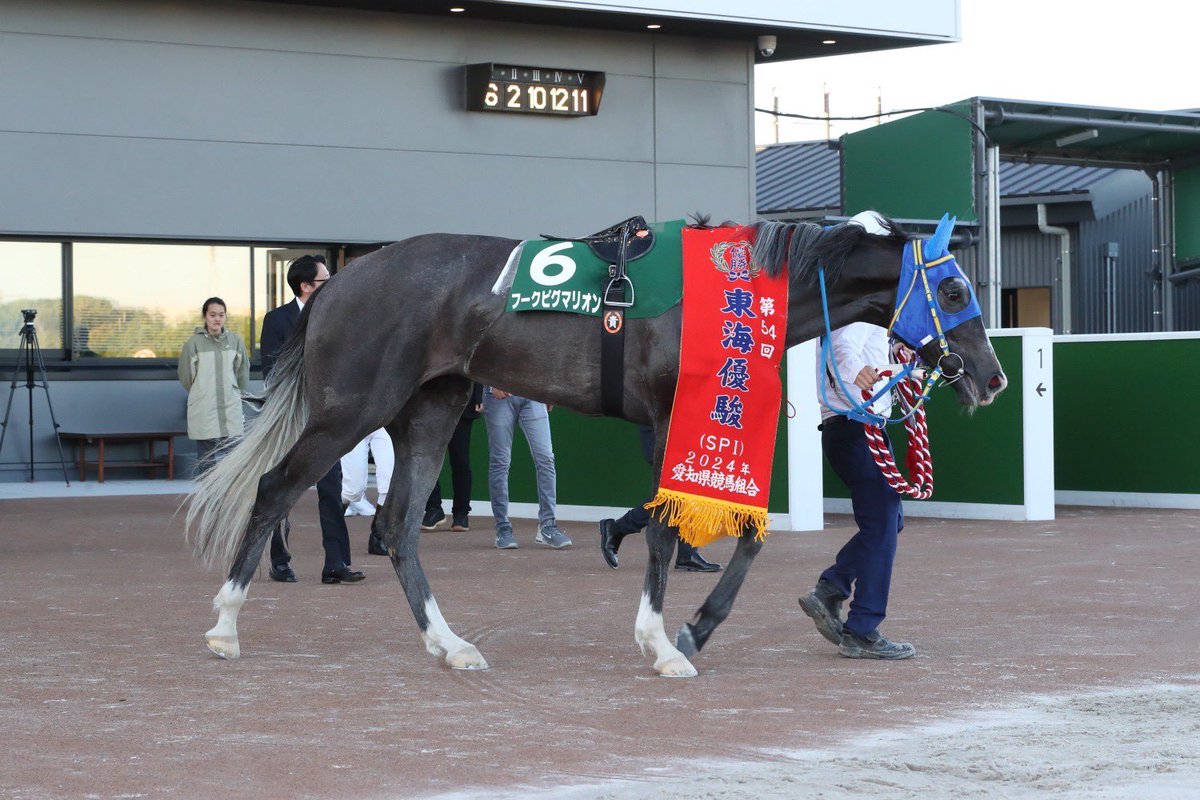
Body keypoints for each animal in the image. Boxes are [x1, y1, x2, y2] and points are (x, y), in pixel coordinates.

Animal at [186, 214, 1007, 677]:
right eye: (955, 290)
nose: (993, 376)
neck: (732, 291)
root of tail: (339, 283)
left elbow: (741, 536)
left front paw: (696, 628)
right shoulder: (675, 419)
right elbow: (669, 531)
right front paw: (666, 642)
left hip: (430, 411)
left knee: (397, 526)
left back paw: (451, 645)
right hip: (353, 408)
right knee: (276, 490)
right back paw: (224, 626)